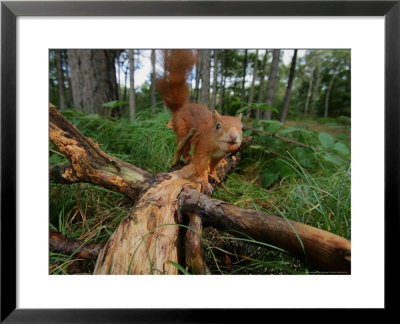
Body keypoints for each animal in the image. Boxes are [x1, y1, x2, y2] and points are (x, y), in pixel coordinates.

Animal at [158, 49, 242, 194]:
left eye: (242, 128)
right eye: (218, 126)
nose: (233, 136)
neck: (217, 147)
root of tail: (181, 108)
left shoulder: (219, 156)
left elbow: (214, 166)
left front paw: (214, 175)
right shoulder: (202, 148)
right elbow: (200, 164)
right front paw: (206, 182)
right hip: (183, 130)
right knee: (183, 147)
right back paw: (187, 157)